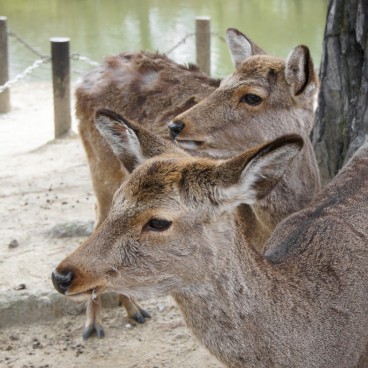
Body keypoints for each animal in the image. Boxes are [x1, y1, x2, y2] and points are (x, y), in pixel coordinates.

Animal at [74, 28, 320, 340]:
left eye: (252, 97)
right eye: (223, 82)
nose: (175, 125)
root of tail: (89, 74)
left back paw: (134, 311)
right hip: (100, 169)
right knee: (97, 222)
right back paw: (95, 325)